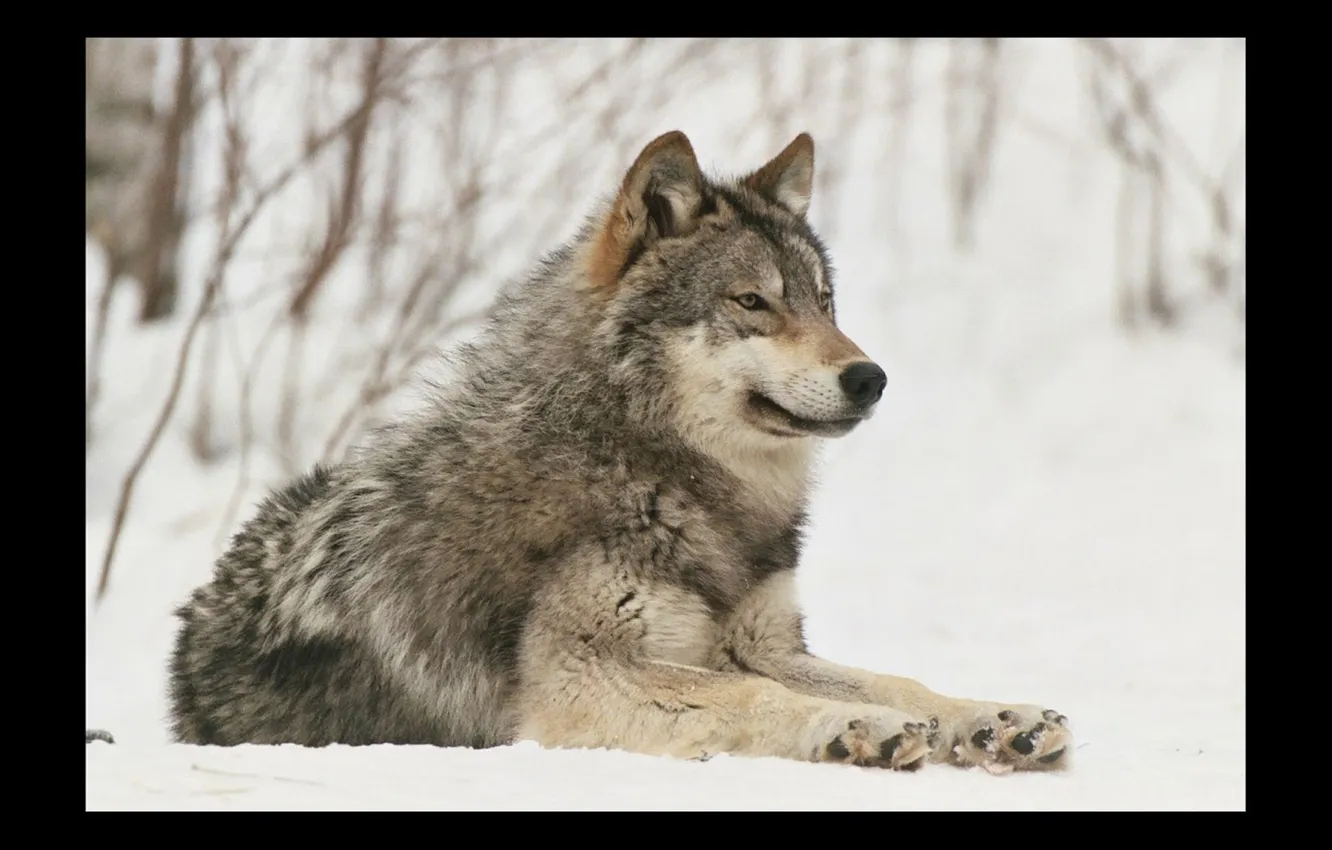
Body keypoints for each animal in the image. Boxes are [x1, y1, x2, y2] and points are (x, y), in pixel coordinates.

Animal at [168, 131, 1072, 773]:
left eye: (824, 303)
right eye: (752, 302)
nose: (870, 377)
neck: (654, 468)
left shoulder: (768, 643)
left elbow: (897, 678)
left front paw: (995, 718)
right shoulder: (581, 679)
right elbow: (749, 694)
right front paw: (860, 726)